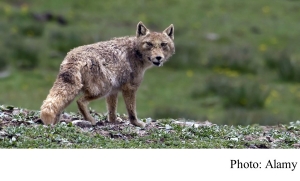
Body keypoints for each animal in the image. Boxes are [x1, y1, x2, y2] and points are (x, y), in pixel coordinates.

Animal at [40, 21, 176, 128]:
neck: (135, 52)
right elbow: (132, 111)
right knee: (80, 102)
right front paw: (137, 124)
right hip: (102, 89)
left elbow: (112, 112)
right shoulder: (129, 89)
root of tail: (73, 57)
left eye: (163, 44)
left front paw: (113, 122)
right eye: (149, 44)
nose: (158, 58)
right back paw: (90, 120)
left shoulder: (114, 91)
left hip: (82, 92)